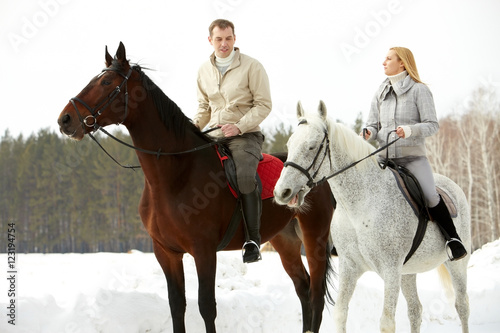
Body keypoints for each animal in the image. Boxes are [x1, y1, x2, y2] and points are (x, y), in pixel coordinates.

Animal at [57, 42, 332, 332]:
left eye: (107, 82)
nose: (65, 120)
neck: (175, 176)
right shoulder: (166, 252)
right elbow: (177, 305)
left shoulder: (204, 251)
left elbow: (206, 306)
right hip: (284, 240)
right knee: (303, 288)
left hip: (314, 237)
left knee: (315, 295)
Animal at [276, 101, 470, 332]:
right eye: (289, 145)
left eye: (312, 146)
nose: (282, 192)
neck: (359, 206)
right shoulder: (350, 267)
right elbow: (340, 313)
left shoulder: (390, 270)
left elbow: (386, 322)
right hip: (407, 272)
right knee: (415, 310)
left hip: (456, 264)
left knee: (462, 306)